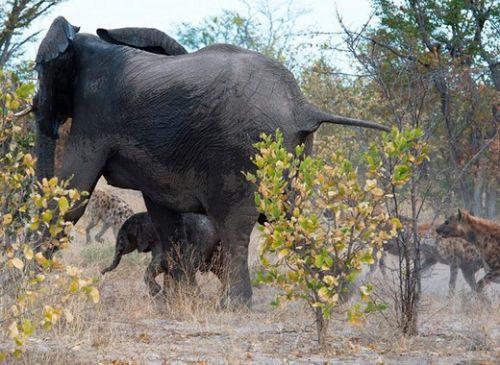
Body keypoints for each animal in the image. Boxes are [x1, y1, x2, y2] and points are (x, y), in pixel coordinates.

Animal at [35, 17, 388, 308]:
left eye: (39, 76)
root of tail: (303, 107)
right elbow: (162, 209)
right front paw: (181, 300)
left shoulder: (94, 114)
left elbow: (71, 195)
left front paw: (24, 280)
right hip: (292, 155)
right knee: (292, 218)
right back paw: (336, 295)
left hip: (242, 154)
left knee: (234, 227)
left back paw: (233, 306)